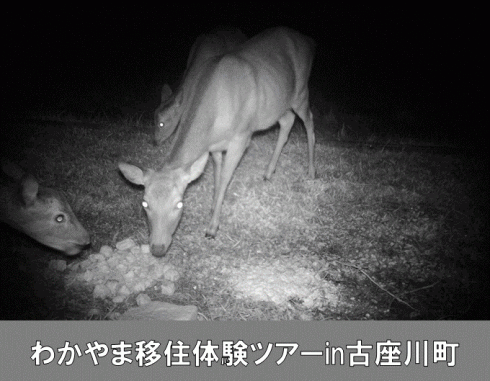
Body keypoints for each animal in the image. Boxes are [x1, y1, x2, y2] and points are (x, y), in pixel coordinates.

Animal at [120, 27, 316, 255]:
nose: (158, 248)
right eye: (145, 204)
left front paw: (212, 228)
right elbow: (215, 176)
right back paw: (268, 172)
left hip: (301, 90)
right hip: (278, 102)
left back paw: (311, 172)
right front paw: (213, 207)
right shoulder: (213, 146)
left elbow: (224, 180)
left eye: (179, 204)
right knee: (287, 120)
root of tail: (308, 40)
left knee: (309, 121)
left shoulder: (241, 137)